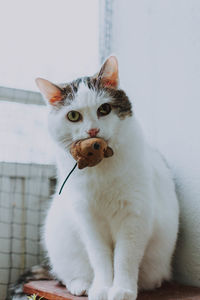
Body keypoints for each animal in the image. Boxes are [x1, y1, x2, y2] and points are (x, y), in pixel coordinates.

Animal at [10, 56, 179, 300]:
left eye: (104, 109)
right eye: (73, 115)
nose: (93, 131)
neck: (101, 168)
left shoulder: (134, 217)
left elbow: (124, 258)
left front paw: (122, 290)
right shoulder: (88, 220)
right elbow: (100, 258)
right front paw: (101, 288)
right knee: (65, 275)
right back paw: (82, 285)